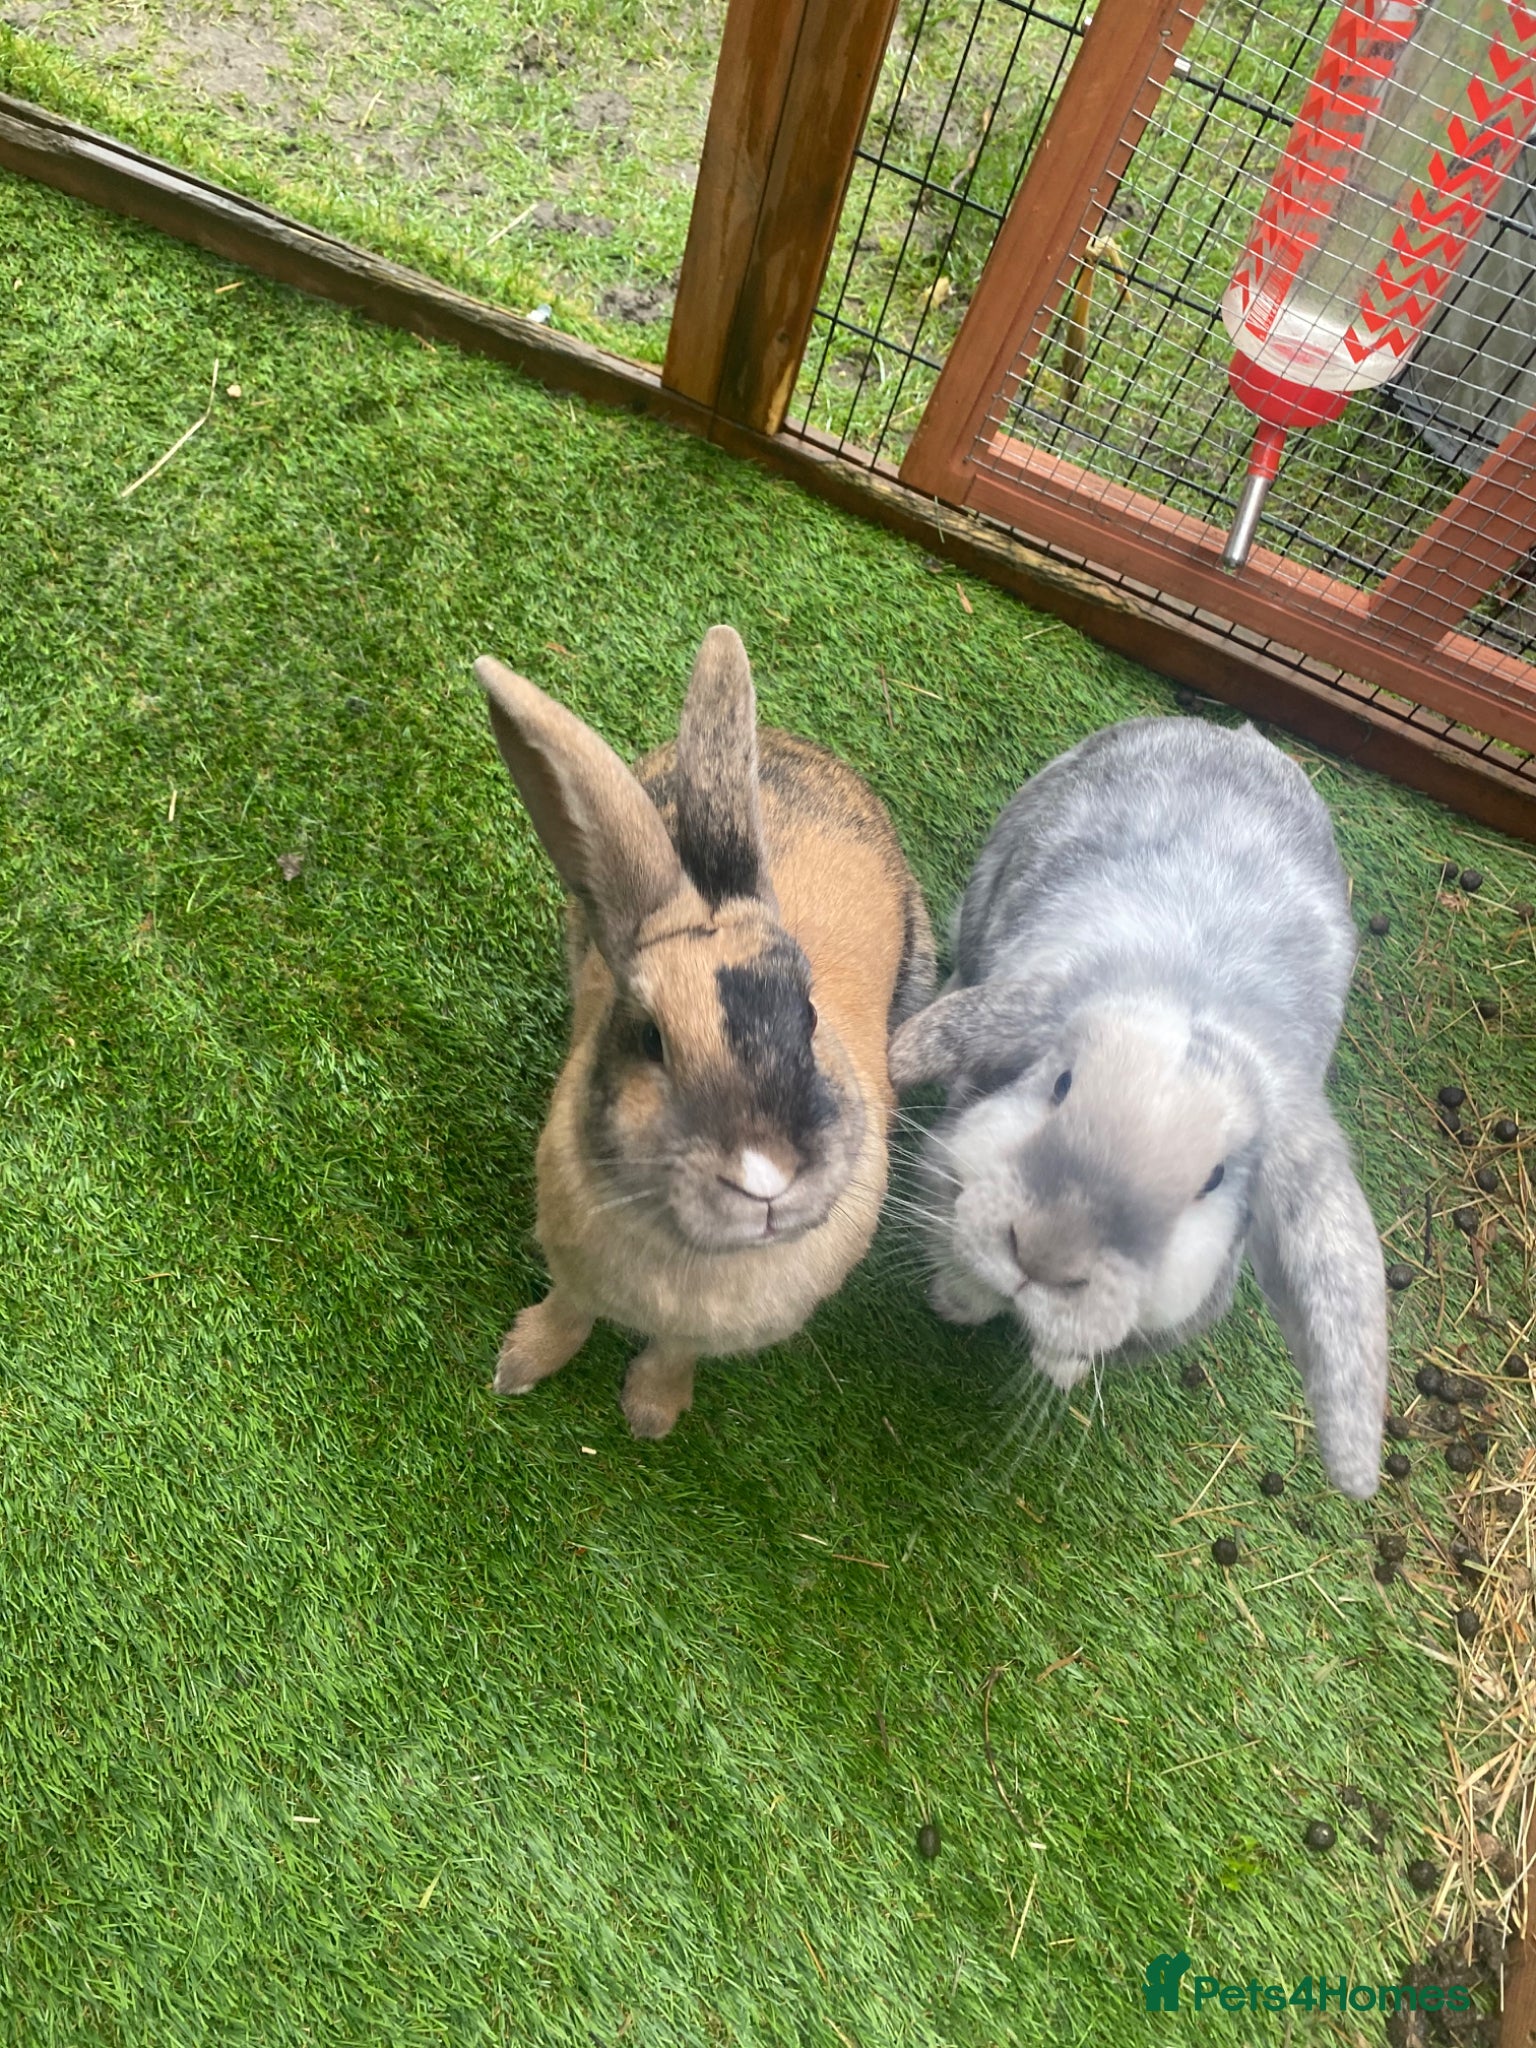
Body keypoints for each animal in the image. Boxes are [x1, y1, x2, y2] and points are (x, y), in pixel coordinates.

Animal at [476, 624, 936, 1440]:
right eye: (651, 1039)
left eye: (809, 1016)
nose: (764, 1177)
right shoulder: (571, 1274)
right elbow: (567, 1315)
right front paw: (517, 1368)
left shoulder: (698, 1334)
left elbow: (673, 1353)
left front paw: (650, 1417)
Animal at [887, 715, 1388, 1498]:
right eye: (1061, 1084)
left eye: (1214, 1180)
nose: (1044, 1256)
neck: (1192, 996)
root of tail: (1235, 734)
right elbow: (961, 1262)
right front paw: (956, 1304)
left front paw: (1058, 1369)